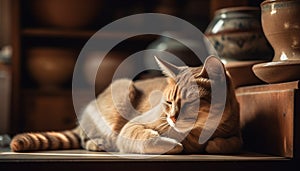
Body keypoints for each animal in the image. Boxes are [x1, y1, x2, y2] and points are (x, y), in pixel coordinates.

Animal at [10, 55, 243, 154]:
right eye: (168, 102)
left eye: (191, 101)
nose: (172, 117)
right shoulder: (131, 127)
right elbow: (150, 139)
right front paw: (173, 144)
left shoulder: (235, 134)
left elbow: (230, 142)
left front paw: (214, 144)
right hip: (122, 89)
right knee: (86, 138)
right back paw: (100, 144)